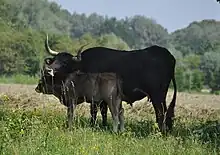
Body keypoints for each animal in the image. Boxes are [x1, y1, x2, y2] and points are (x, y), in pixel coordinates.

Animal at [43, 35, 177, 133]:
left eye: (65, 62)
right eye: (55, 60)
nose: (48, 69)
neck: (84, 65)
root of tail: (167, 55)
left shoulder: (95, 96)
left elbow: (94, 111)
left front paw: (94, 125)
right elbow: (103, 111)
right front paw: (103, 125)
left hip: (157, 95)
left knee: (161, 112)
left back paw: (160, 131)